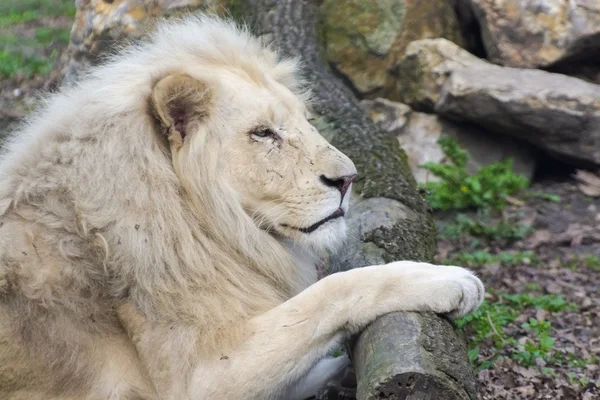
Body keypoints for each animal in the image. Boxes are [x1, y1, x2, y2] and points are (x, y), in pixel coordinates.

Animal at [0, 14, 482, 400]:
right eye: (263, 133)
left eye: (306, 121)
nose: (348, 179)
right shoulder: (196, 378)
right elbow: (331, 292)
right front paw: (446, 280)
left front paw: (340, 371)